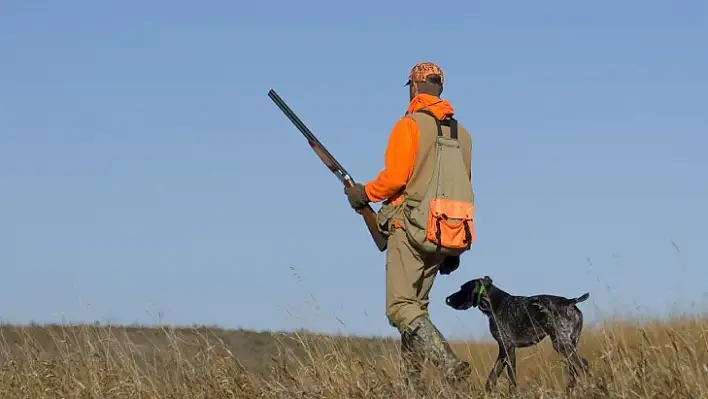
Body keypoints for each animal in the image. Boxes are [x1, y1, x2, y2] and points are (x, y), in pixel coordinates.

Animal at [446, 276, 588, 392]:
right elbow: (492, 378)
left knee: (583, 365)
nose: (448, 299)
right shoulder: (503, 350)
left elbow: (511, 379)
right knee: (574, 369)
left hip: (561, 344)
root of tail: (570, 302)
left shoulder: (509, 348)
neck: (494, 305)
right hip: (570, 345)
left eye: (463, 289)